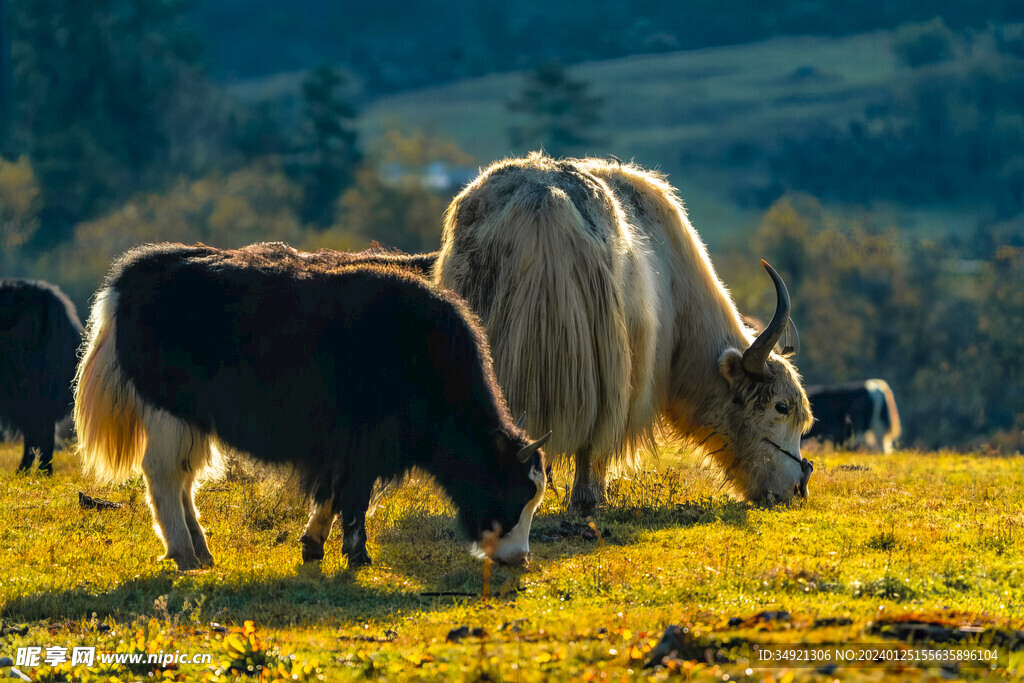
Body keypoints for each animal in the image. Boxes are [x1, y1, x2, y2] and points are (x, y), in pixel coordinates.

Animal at [74, 242, 548, 573]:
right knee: (163, 477)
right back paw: (184, 554)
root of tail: (131, 277)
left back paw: (202, 550)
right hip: (168, 414)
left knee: (184, 479)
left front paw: (313, 545)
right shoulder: (364, 445)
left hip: (190, 422)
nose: (518, 558)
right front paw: (358, 556)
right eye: (514, 491)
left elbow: (331, 495)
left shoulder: (342, 447)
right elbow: (353, 498)